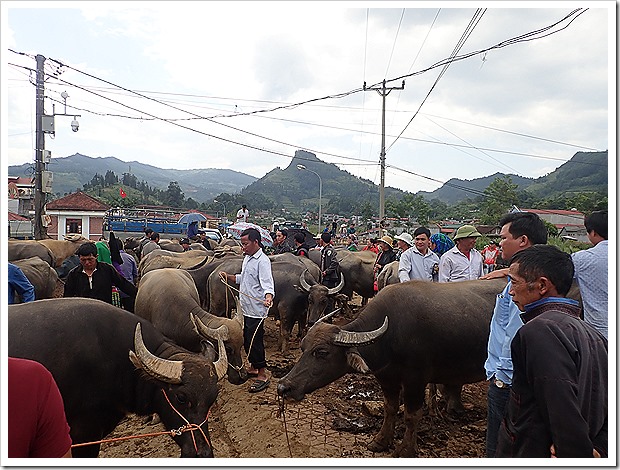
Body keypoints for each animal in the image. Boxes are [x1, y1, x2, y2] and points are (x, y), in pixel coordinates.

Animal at [278, 280, 506, 456]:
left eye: (322, 352)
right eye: (303, 347)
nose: (283, 387)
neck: (390, 336)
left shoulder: (416, 380)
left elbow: (412, 415)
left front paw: (406, 450)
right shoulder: (386, 378)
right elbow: (390, 408)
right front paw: (380, 441)